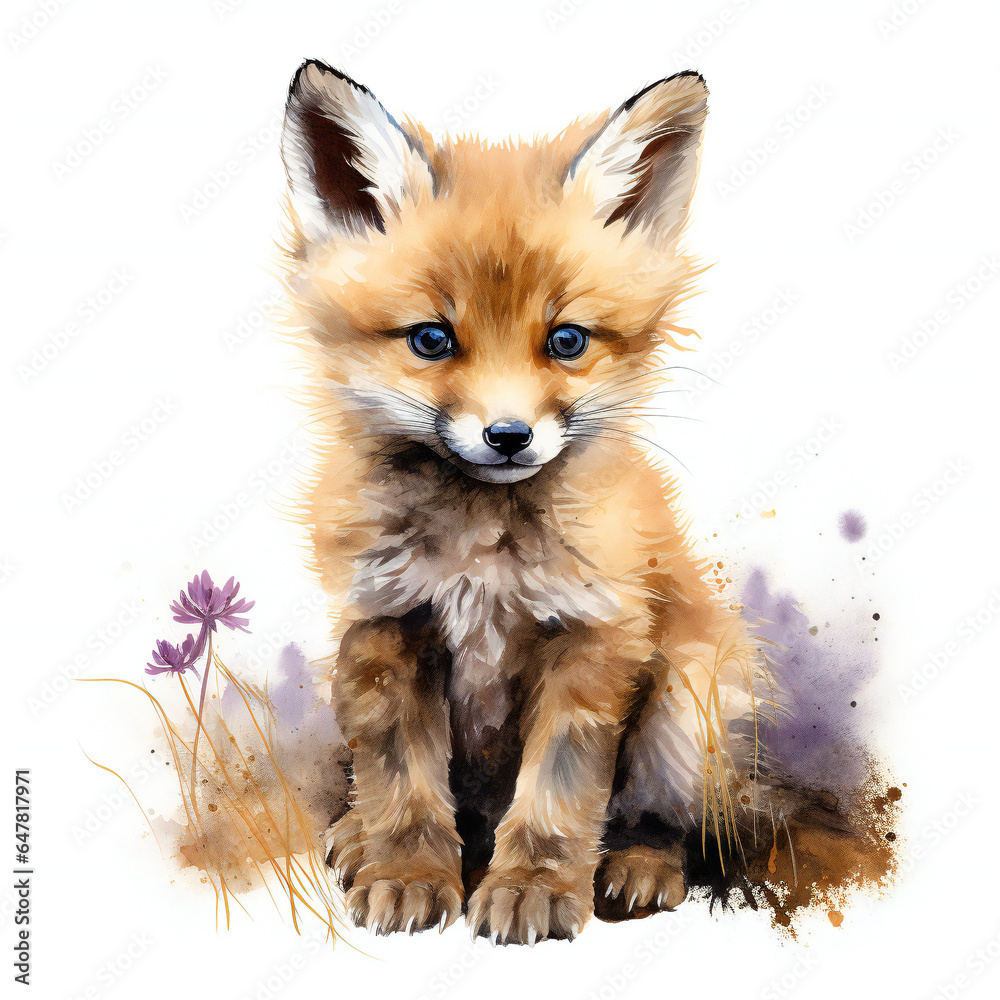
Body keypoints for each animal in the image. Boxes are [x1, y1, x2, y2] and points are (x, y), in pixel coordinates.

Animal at [278, 60, 772, 944]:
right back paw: (358, 836)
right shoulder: (387, 625)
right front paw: (408, 872)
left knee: (661, 815)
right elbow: (402, 783)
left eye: (566, 341)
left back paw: (641, 865)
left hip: (692, 700)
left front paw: (534, 887)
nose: (508, 436)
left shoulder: (593, 635)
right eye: (432, 339)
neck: (482, 554)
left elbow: (558, 793)